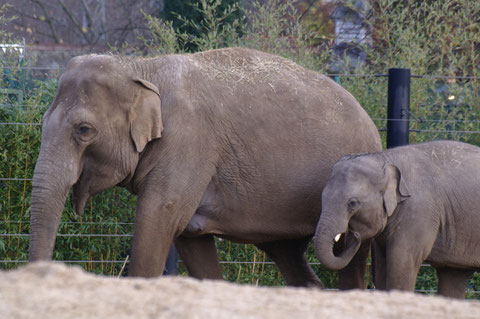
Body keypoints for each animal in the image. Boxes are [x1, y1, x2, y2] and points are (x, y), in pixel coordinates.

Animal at [30, 48, 382, 290]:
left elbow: (158, 218)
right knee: (287, 253)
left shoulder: (187, 144)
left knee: (350, 258)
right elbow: (189, 237)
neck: (141, 67)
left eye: (84, 130)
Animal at [316, 141, 480, 298]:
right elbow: (382, 264)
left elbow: (402, 261)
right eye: (322, 197)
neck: (385, 158)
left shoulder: (419, 212)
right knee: (453, 275)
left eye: (352, 203)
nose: (354, 234)